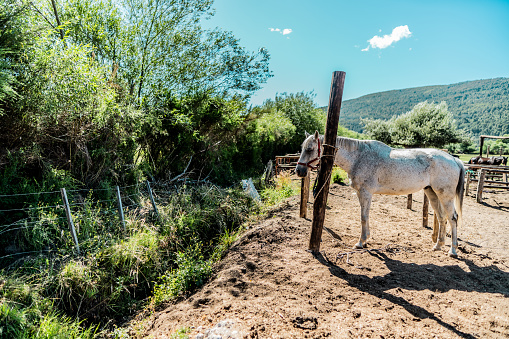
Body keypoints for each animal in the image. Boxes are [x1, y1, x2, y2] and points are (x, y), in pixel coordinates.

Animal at [294, 132, 464, 258]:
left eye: (310, 149)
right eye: (302, 148)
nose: (299, 171)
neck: (359, 157)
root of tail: (454, 160)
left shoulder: (365, 193)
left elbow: (363, 217)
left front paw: (360, 242)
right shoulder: (361, 193)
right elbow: (365, 216)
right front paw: (366, 240)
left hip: (445, 196)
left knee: (453, 218)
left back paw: (453, 251)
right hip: (431, 192)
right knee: (442, 217)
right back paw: (438, 245)